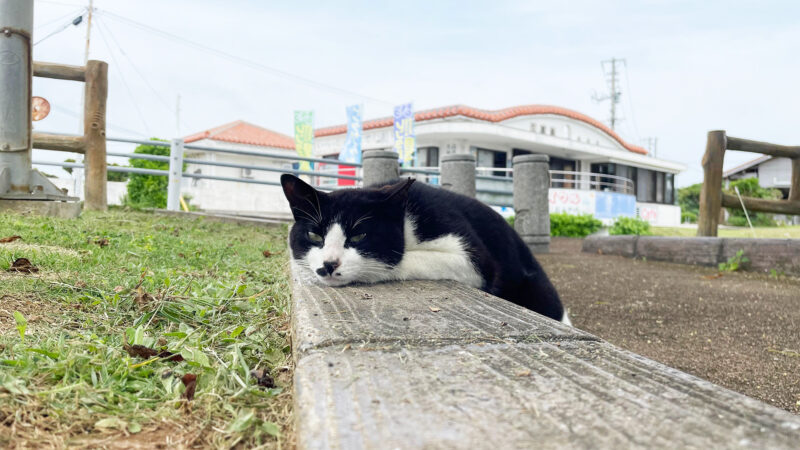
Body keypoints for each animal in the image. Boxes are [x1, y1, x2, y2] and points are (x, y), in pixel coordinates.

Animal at [282, 172, 568, 324]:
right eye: (314, 235)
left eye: (359, 236)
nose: (328, 265)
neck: (405, 219)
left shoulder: (474, 256)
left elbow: (401, 260)